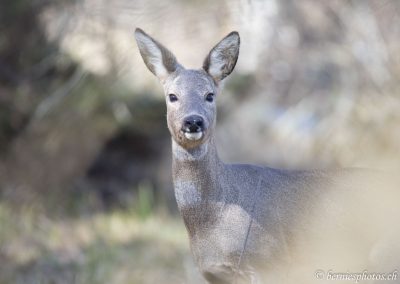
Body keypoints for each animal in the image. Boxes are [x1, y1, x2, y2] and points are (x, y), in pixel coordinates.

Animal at [135, 27, 400, 282]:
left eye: (210, 95)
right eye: (172, 96)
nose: (193, 121)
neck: (214, 218)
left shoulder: (270, 261)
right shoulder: (214, 274)